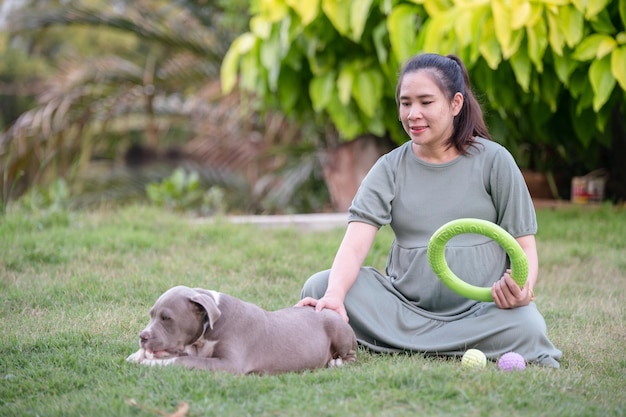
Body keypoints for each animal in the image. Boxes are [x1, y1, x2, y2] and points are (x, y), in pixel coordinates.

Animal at [127, 286, 356, 374]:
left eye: (167, 318)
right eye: (151, 315)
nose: (142, 337)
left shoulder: (230, 364)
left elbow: (182, 361)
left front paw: (150, 362)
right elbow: (184, 356)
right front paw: (138, 355)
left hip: (339, 331)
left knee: (351, 355)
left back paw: (336, 362)